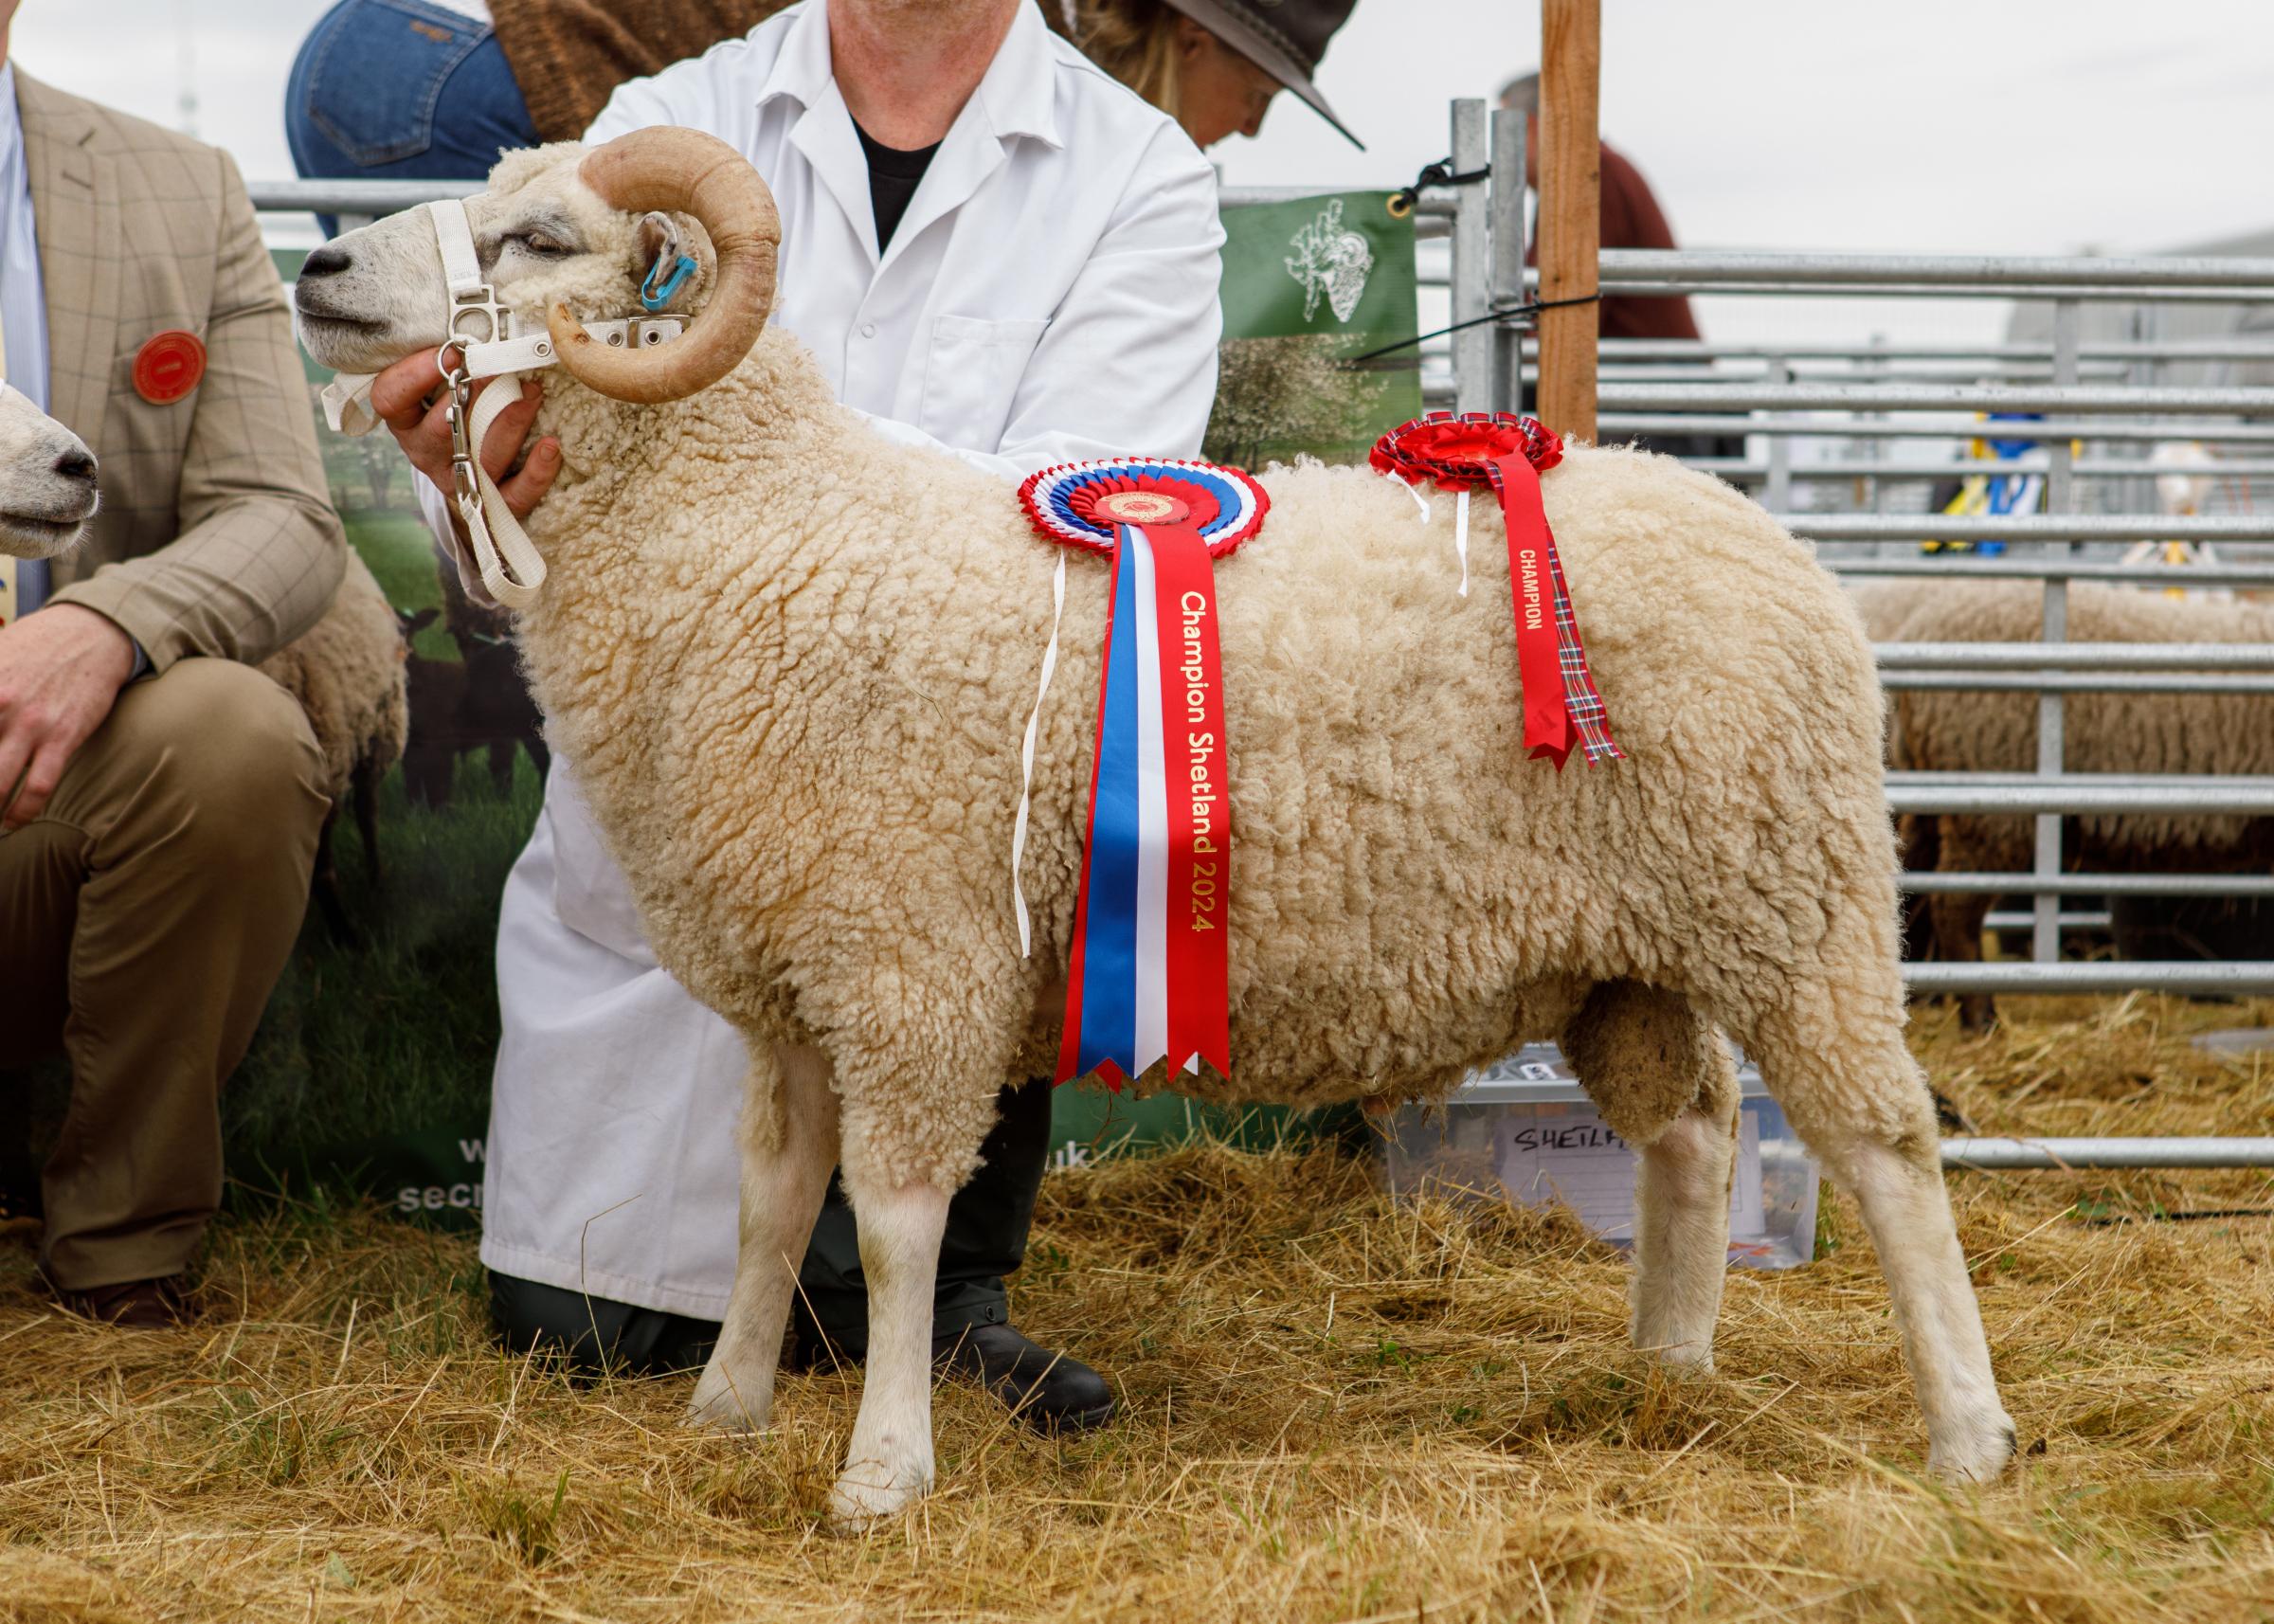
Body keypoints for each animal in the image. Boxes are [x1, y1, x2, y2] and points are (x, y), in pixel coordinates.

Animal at [293, 126, 2019, 1519]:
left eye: (537, 238)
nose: (318, 264)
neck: (769, 531)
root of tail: (1775, 543)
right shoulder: (798, 973)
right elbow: (772, 1199)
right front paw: (727, 1409)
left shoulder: (911, 963)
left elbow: (900, 1223)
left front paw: (883, 1467)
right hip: (1632, 952)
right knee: (1694, 1131)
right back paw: (1665, 1368)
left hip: (1792, 898)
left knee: (1886, 1143)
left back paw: (1969, 1433)